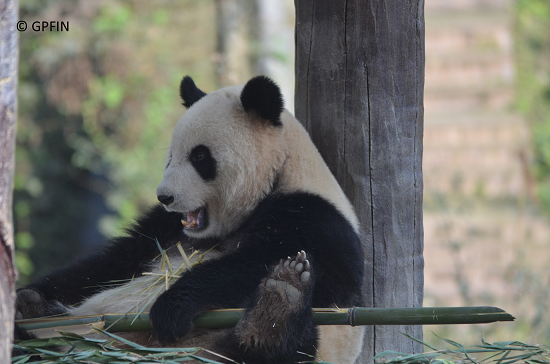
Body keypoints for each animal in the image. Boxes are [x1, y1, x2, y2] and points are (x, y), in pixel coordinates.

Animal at [14, 76, 366, 364]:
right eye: (171, 156)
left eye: (199, 156)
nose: (165, 196)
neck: (282, 172)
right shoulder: (164, 228)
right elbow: (108, 265)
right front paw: (24, 297)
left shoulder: (316, 217)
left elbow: (257, 265)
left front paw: (173, 305)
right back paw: (33, 311)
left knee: (282, 348)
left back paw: (276, 309)